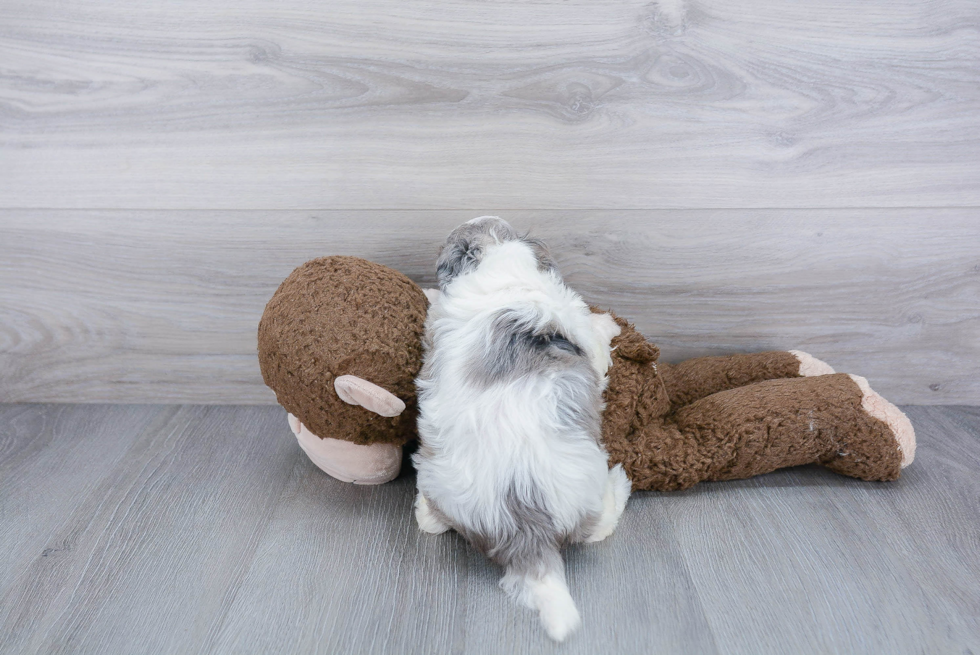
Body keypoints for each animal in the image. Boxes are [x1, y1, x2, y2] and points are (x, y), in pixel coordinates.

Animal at [412, 215, 628, 640]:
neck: (502, 267)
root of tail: (526, 528)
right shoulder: (580, 331)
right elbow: (596, 338)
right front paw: (609, 322)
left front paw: (428, 293)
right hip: (590, 487)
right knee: (600, 525)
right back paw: (621, 484)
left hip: (437, 477)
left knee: (432, 522)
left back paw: (424, 511)